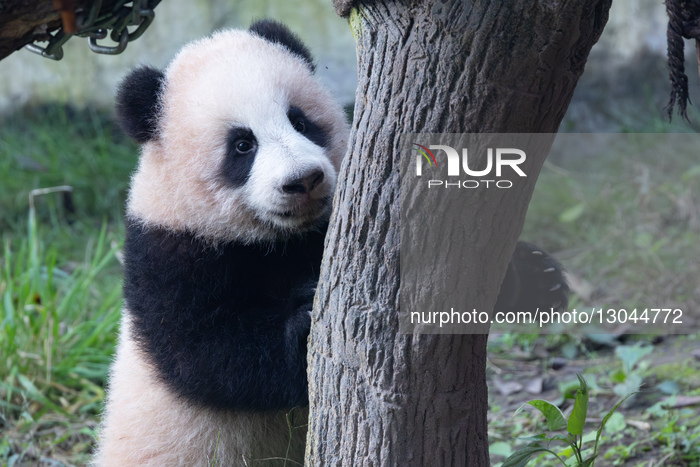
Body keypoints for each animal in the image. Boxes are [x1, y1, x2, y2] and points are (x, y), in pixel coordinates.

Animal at [94, 20, 568, 466]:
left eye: (300, 121)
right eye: (242, 145)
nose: (303, 180)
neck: (279, 239)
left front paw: (536, 277)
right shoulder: (171, 252)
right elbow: (208, 356)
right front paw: (305, 318)